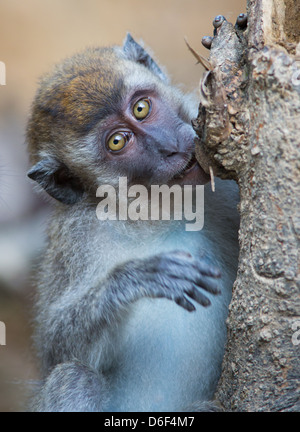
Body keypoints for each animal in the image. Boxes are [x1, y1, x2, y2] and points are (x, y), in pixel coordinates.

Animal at [27, 31, 240, 412]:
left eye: (141, 108)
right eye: (117, 142)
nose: (168, 146)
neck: (157, 211)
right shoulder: (76, 235)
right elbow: (55, 350)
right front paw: (136, 278)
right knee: (74, 377)